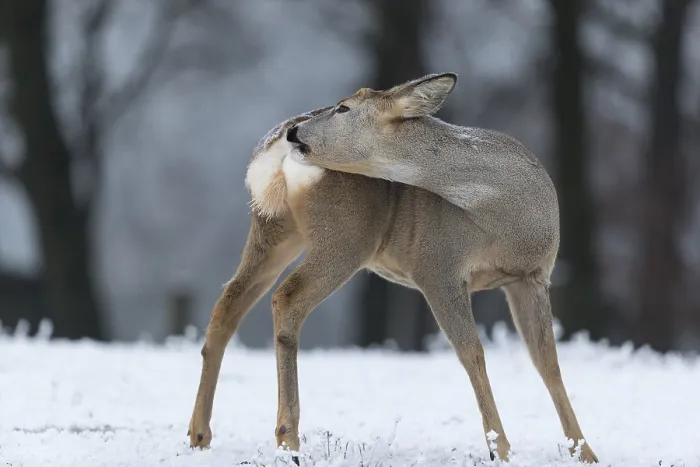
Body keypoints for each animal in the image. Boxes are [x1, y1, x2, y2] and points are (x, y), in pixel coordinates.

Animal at [187, 73, 599, 464]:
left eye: (344, 108)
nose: (295, 132)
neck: (506, 215)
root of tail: (270, 148)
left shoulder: (532, 278)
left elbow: (548, 363)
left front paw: (585, 452)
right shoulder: (438, 267)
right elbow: (473, 353)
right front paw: (501, 449)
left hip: (275, 228)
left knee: (228, 304)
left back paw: (199, 435)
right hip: (346, 236)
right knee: (286, 298)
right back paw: (288, 440)